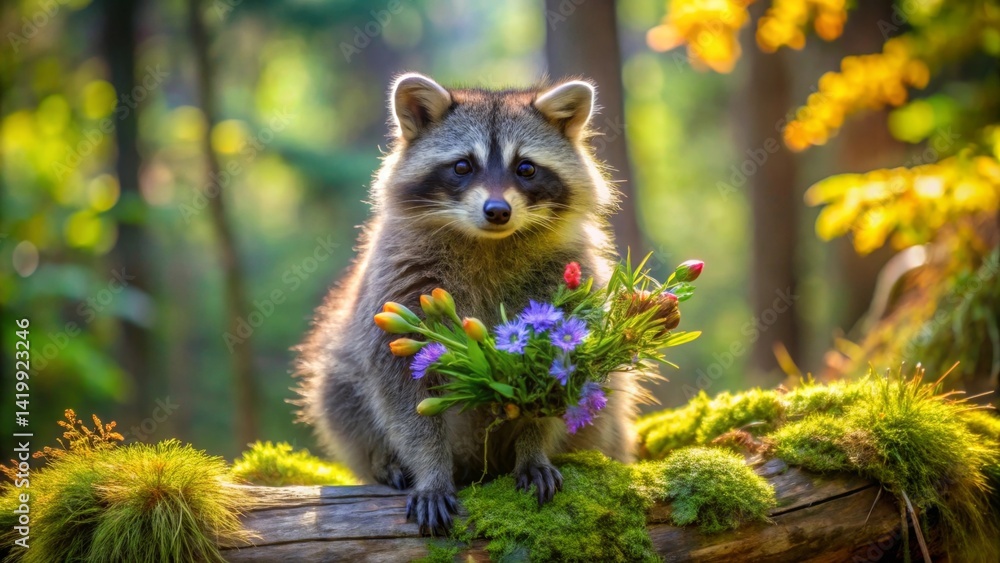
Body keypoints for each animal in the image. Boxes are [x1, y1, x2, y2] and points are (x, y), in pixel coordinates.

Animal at [294, 73, 641, 534]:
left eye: (525, 168)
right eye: (462, 166)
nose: (498, 210)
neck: (487, 242)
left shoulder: (569, 279)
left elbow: (556, 378)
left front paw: (533, 448)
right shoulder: (399, 283)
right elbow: (404, 392)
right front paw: (430, 470)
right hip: (343, 364)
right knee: (338, 391)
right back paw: (381, 460)